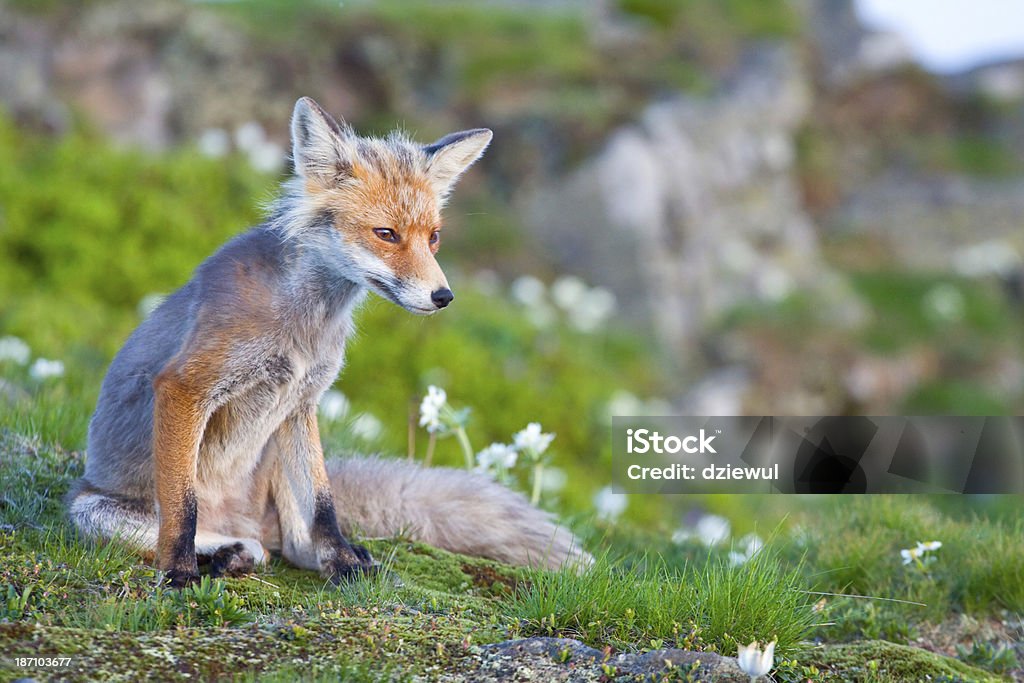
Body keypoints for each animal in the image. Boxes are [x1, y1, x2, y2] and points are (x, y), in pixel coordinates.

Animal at [66, 97, 585, 589]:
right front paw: (178, 572)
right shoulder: (185, 385)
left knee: (291, 545)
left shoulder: (302, 401)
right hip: (88, 510)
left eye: (433, 237)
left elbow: (323, 507)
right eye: (386, 234)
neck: (304, 326)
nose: (443, 297)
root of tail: (244, 520)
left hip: (277, 448)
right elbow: (181, 506)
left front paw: (342, 564)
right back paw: (224, 553)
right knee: (222, 539)